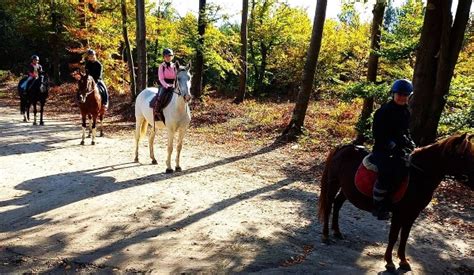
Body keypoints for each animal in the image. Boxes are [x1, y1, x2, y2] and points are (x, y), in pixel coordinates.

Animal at [318, 134, 474, 274]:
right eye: (462, 156)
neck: (418, 177)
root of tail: (343, 147)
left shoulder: (412, 213)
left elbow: (404, 237)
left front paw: (403, 261)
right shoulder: (399, 213)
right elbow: (393, 236)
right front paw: (389, 262)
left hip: (347, 189)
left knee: (337, 204)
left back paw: (337, 231)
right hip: (333, 183)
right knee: (329, 206)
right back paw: (325, 235)